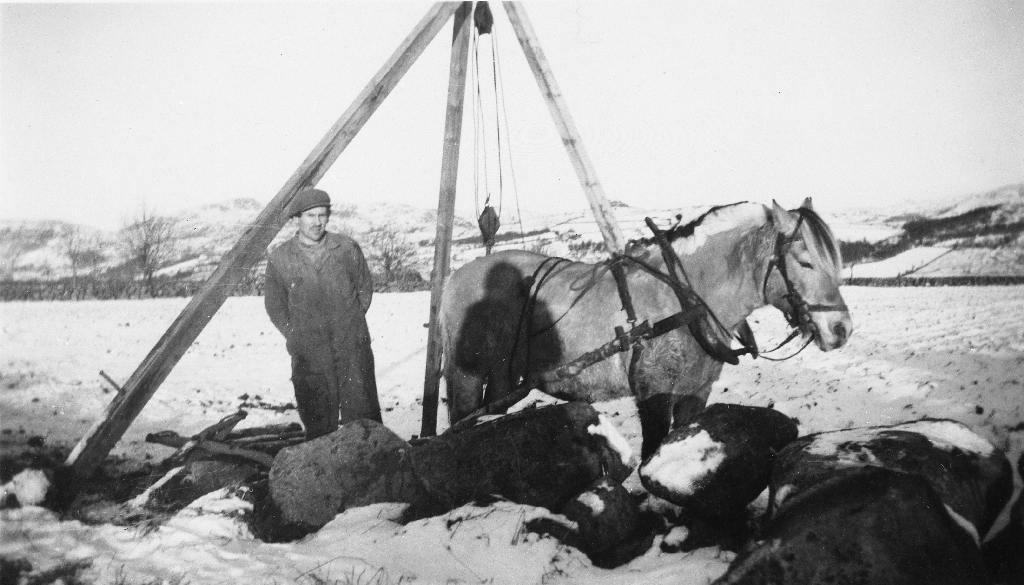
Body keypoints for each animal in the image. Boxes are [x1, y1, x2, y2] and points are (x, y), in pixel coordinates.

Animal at [436, 200, 851, 456]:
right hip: (468, 375)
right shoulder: (654, 393)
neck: (686, 298)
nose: (841, 328)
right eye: (804, 261)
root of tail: (452, 279)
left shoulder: (694, 394)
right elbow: (652, 454)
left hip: (504, 379)